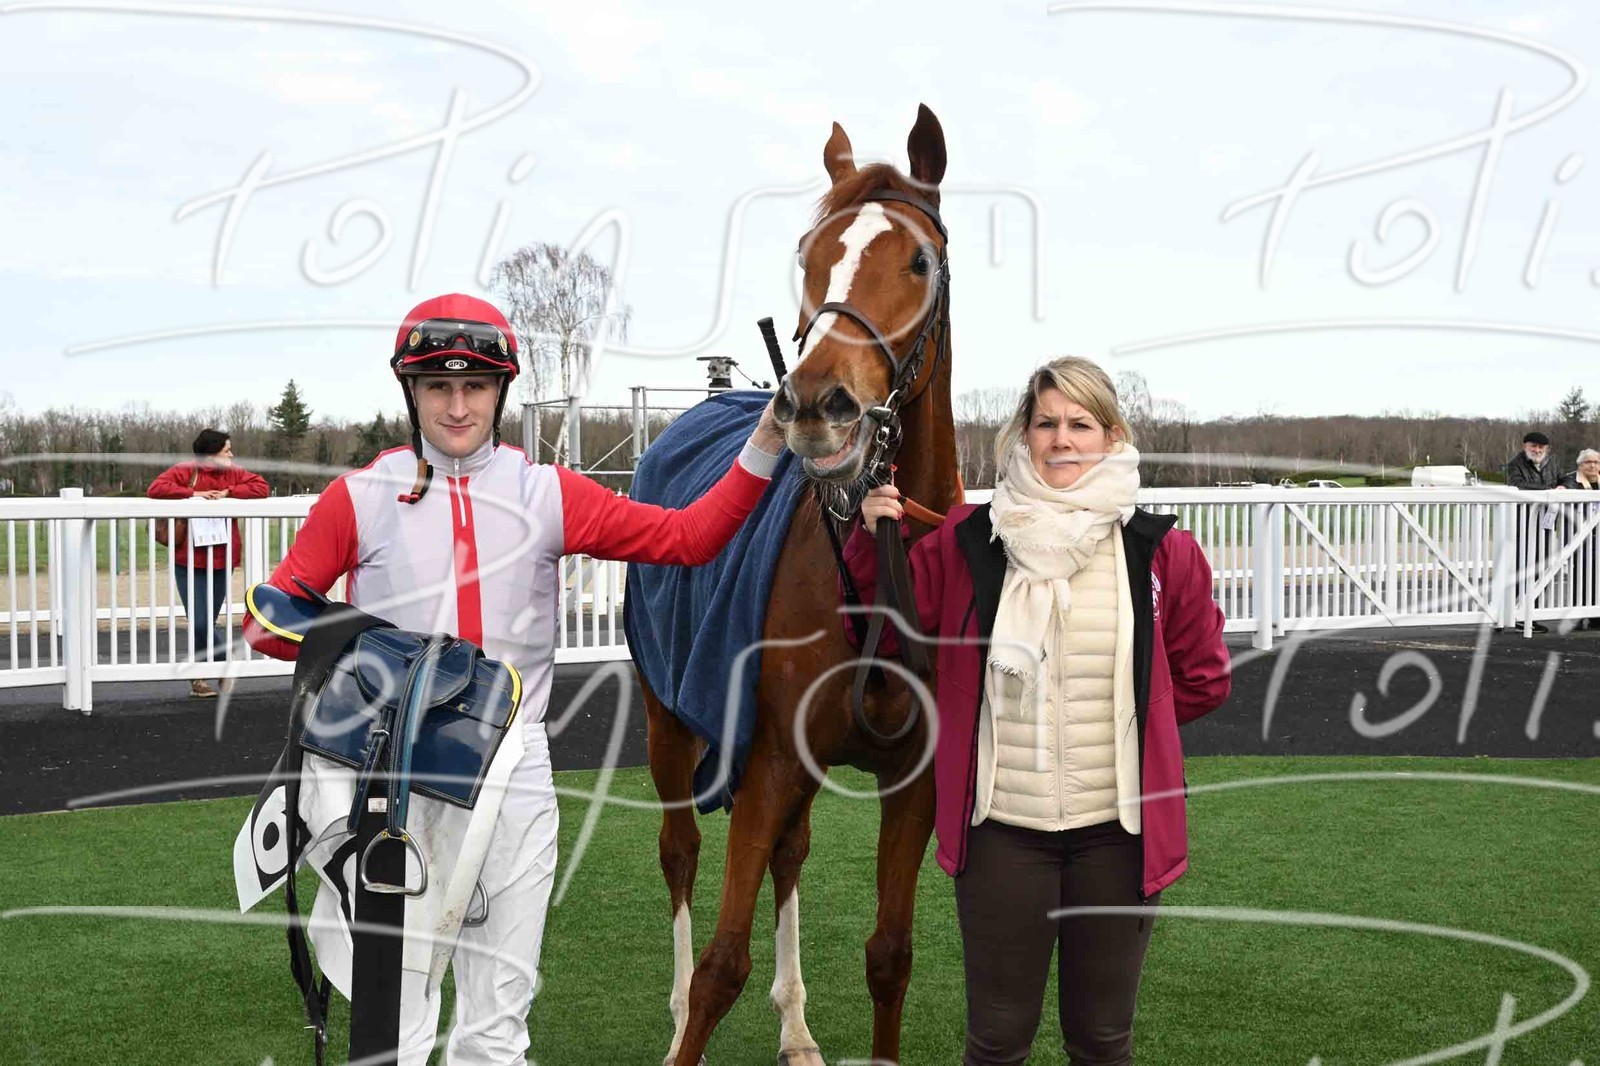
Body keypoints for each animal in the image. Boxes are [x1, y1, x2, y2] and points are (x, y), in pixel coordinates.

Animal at [638, 104, 962, 1066]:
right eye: (808, 255)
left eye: (919, 262)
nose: (817, 405)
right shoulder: (770, 761)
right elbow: (722, 966)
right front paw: (695, 1012)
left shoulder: (914, 778)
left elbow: (890, 954)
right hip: (666, 717)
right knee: (679, 851)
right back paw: (677, 1003)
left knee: (792, 855)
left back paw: (795, 1024)